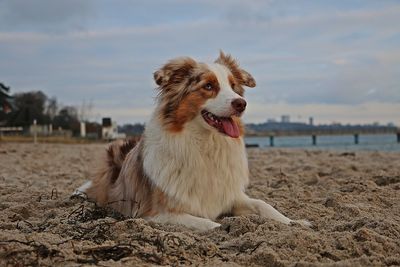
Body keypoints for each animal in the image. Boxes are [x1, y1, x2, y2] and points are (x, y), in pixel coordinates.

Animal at [76, 51, 312, 231]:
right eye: (208, 86)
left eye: (233, 86)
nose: (241, 103)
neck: (206, 145)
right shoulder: (154, 213)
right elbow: (208, 223)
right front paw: (224, 227)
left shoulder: (230, 195)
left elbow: (264, 205)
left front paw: (294, 222)